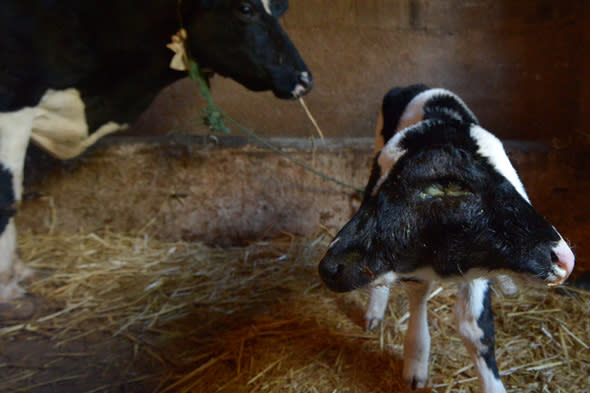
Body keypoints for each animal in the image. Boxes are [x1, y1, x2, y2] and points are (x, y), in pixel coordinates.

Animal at [1, 0, 314, 300]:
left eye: (282, 6)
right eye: (245, 9)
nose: (304, 80)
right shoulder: (12, 106)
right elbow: (8, 197)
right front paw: (9, 289)